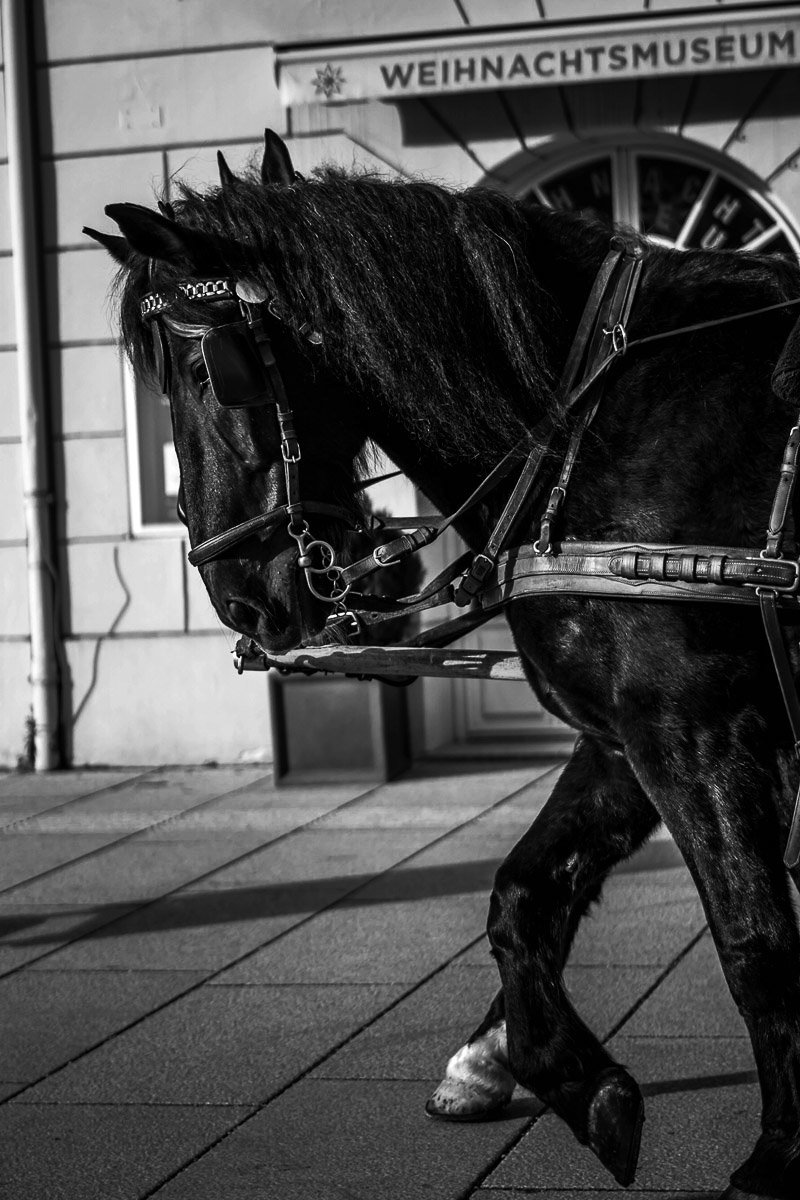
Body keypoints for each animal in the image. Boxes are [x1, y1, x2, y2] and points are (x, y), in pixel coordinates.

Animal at [87, 130, 800, 1200]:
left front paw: (781, 1152)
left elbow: (756, 943)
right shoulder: (625, 737)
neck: (587, 424)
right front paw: (545, 1071)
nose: (238, 595)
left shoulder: (698, 731)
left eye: (205, 373)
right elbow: (524, 896)